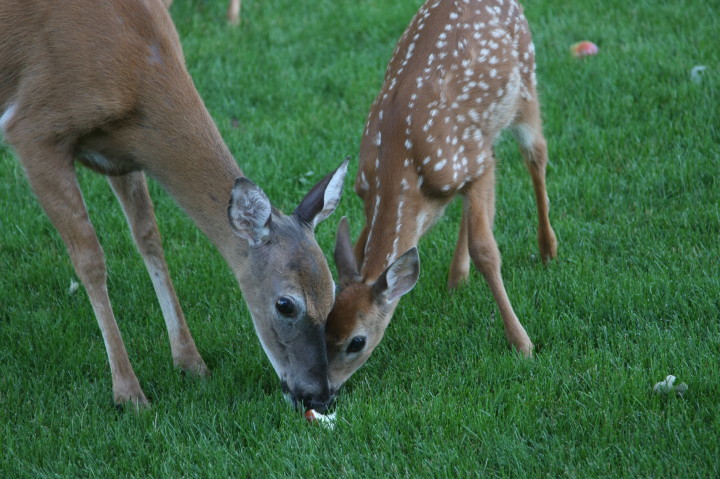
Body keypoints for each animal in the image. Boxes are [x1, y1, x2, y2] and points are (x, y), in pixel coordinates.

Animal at [0, 0, 346, 412]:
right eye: (285, 304)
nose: (320, 395)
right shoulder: (34, 130)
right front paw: (129, 393)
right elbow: (90, 261)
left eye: (333, 294)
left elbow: (148, 237)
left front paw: (191, 362)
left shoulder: (124, 151)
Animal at [326, 0, 557, 394]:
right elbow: (357, 246)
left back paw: (547, 248)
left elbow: (486, 249)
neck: (397, 170)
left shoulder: (473, 166)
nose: (321, 390)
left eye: (357, 341)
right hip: (484, 135)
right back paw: (456, 278)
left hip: (526, 85)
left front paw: (522, 344)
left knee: (536, 155)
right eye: (322, 332)